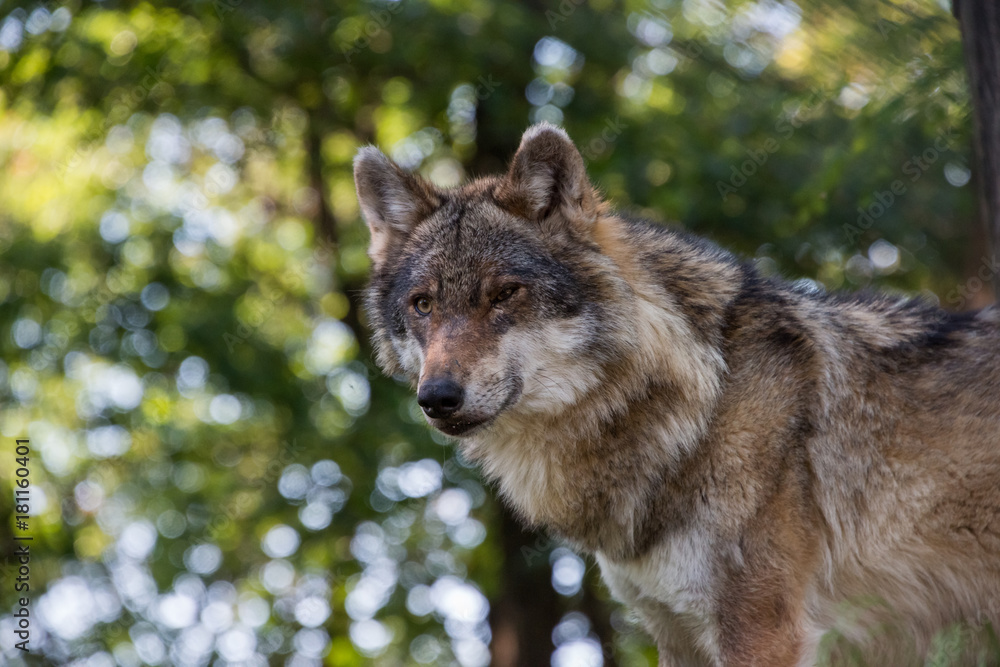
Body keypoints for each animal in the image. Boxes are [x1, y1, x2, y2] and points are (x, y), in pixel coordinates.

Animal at [355, 123, 1000, 666]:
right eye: (423, 304)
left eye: (505, 294)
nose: (437, 397)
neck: (703, 402)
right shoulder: (676, 634)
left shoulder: (763, 630)